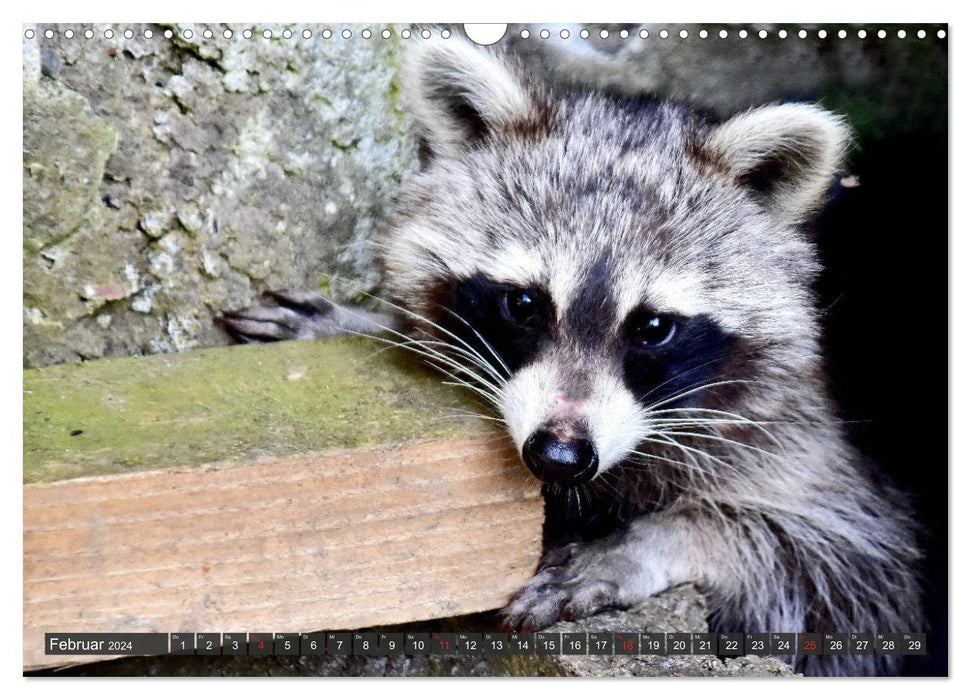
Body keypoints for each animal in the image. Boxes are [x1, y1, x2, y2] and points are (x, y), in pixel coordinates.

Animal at [222, 39, 928, 680]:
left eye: (653, 327)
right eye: (524, 303)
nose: (559, 454)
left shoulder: (807, 458)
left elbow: (840, 573)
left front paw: (645, 543)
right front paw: (372, 327)